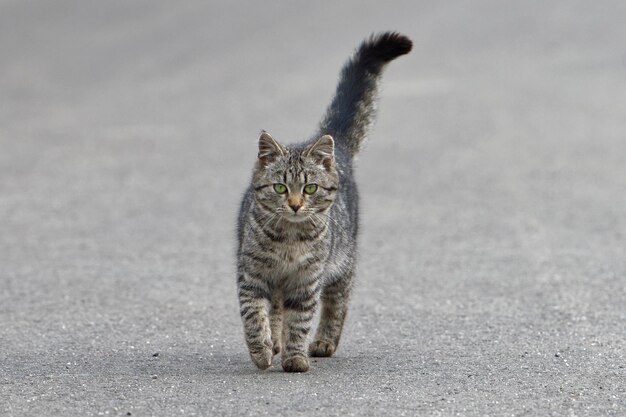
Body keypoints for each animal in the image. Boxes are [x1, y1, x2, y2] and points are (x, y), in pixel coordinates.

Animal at [234, 31, 410, 370]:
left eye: (310, 188)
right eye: (280, 187)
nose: (295, 204)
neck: (288, 241)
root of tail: (334, 140)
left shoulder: (307, 281)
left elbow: (300, 321)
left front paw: (295, 357)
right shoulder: (252, 275)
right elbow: (254, 315)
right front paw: (262, 350)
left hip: (343, 262)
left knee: (337, 302)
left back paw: (324, 341)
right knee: (277, 308)